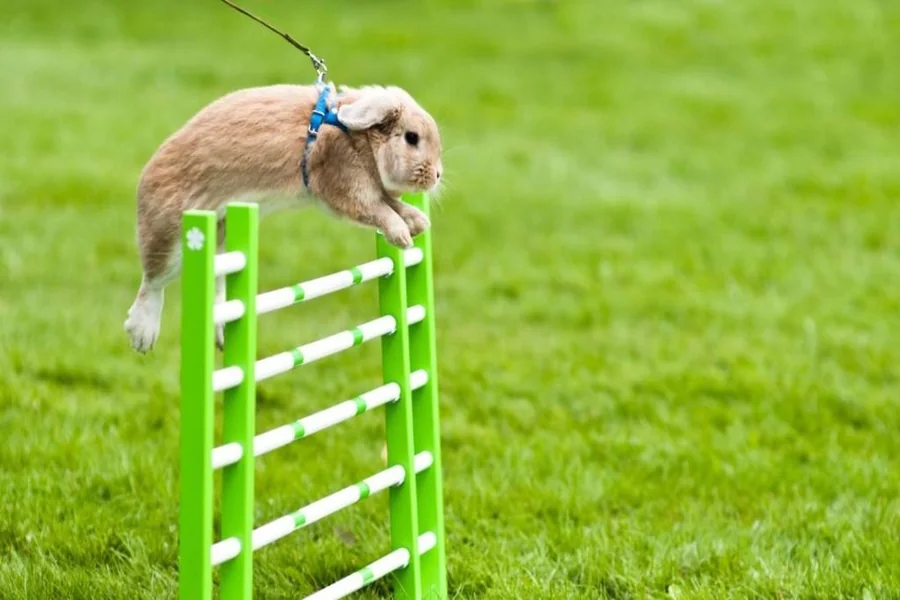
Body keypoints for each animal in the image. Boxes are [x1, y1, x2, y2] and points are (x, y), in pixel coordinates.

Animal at [124, 82, 443, 353]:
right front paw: (402, 235)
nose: (437, 175)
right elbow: (381, 211)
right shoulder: (347, 187)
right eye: (411, 137)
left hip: (222, 244)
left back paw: (222, 334)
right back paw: (142, 334)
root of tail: (146, 176)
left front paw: (418, 222)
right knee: (153, 283)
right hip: (174, 240)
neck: (355, 135)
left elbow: (393, 204)